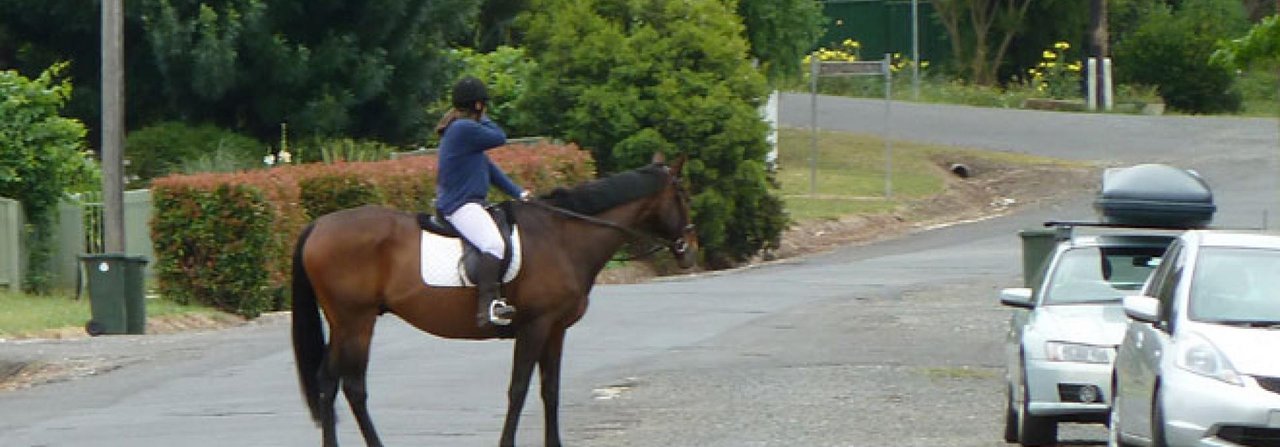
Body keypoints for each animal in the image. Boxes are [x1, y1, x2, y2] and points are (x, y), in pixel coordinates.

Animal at [291, 151, 701, 443]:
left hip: (343, 324)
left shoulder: (555, 329)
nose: (690, 250)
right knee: (352, 387)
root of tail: (318, 225)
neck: (562, 236)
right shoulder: (535, 326)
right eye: (682, 194)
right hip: (356, 323)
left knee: (328, 383)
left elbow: (550, 390)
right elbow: (518, 390)